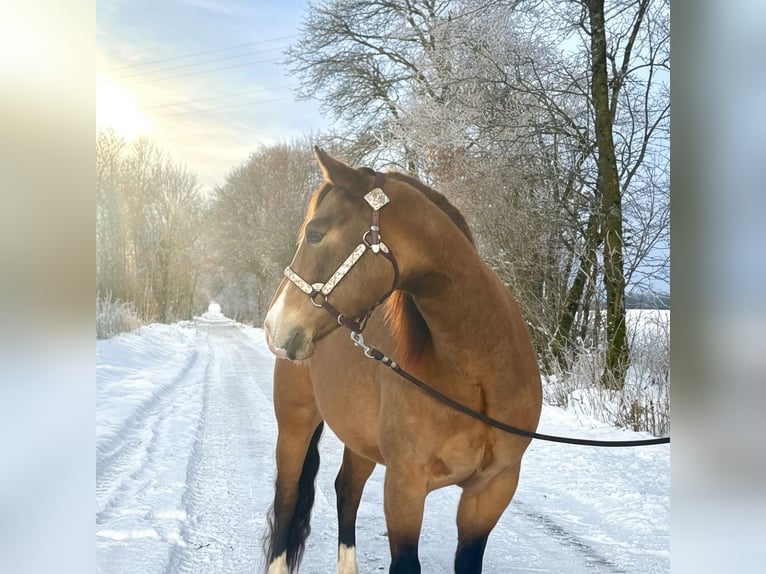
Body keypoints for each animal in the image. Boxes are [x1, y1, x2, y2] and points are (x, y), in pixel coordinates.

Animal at [262, 148, 542, 574]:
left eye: (315, 233)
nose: (274, 326)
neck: (476, 376)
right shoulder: (405, 487)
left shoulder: (492, 490)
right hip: (295, 424)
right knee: (287, 499)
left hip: (359, 439)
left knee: (346, 491)